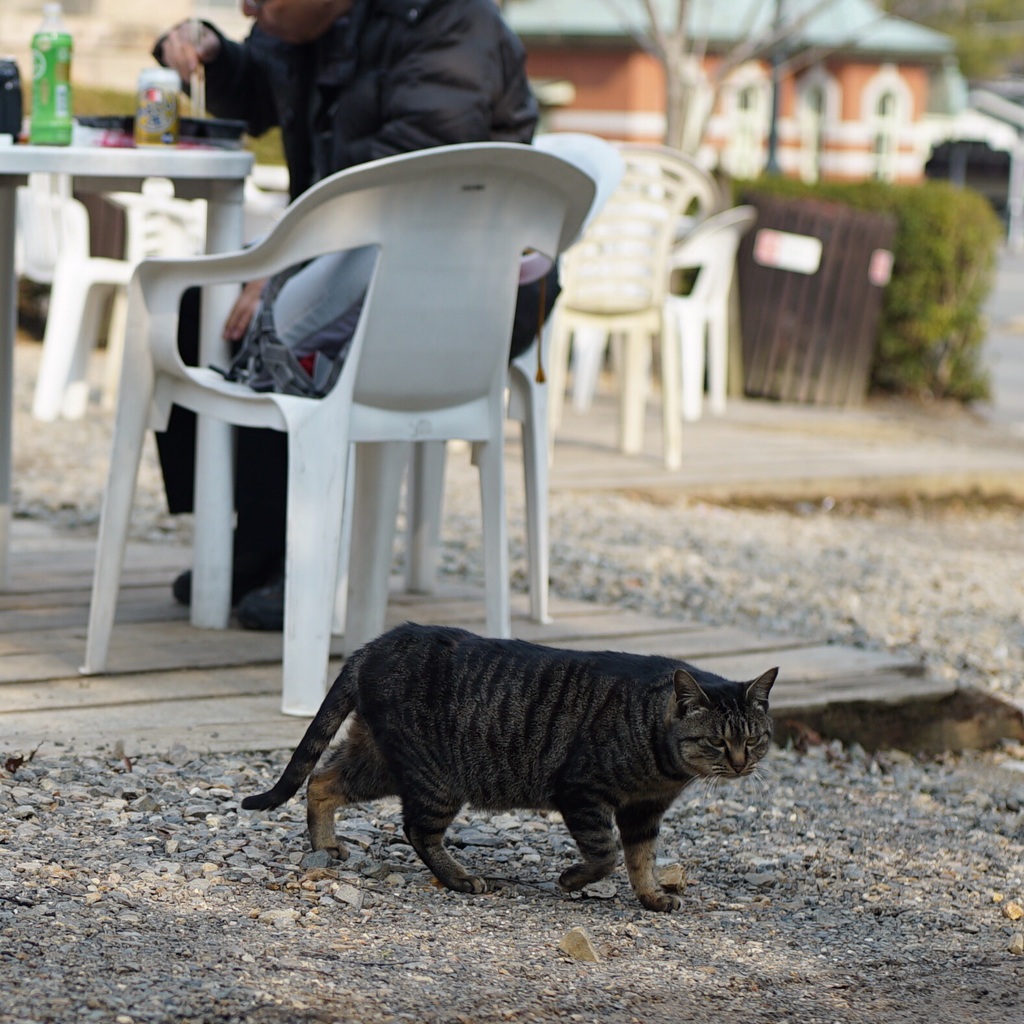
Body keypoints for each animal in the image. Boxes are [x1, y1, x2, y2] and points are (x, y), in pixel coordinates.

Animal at [241, 618, 774, 909]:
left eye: (754, 738)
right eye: (716, 741)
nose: (741, 764)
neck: (663, 767)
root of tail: (377, 642)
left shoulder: (644, 812)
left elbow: (641, 860)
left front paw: (651, 897)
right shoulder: (583, 793)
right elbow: (605, 854)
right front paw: (571, 880)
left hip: (376, 760)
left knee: (321, 780)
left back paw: (324, 846)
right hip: (434, 776)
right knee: (416, 828)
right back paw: (460, 878)